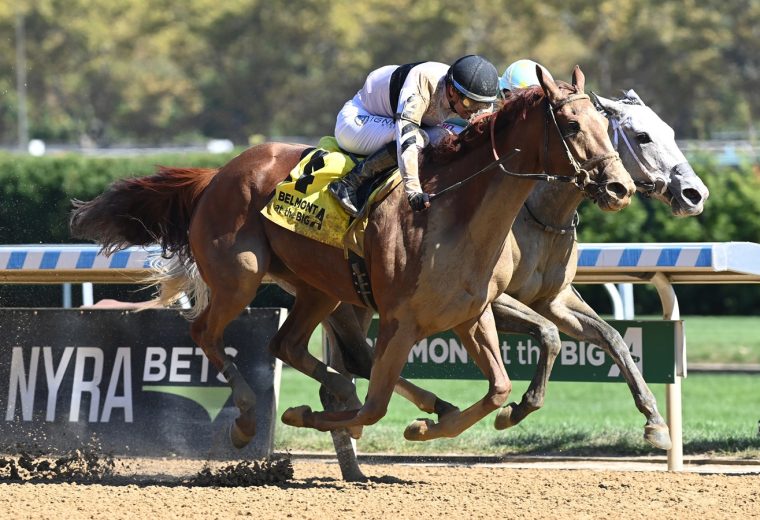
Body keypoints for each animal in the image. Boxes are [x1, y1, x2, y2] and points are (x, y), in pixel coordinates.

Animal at [71, 65, 632, 446]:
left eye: (607, 123)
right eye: (573, 126)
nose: (620, 187)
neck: (455, 212)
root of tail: (218, 174)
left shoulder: (471, 315)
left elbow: (497, 386)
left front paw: (437, 423)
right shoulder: (402, 322)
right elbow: (373, 409)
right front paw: (307, 416)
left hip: (317, 288)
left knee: (287, 345)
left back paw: (369, 390)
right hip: (241, 275)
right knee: (205, 332)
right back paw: (251, 417)